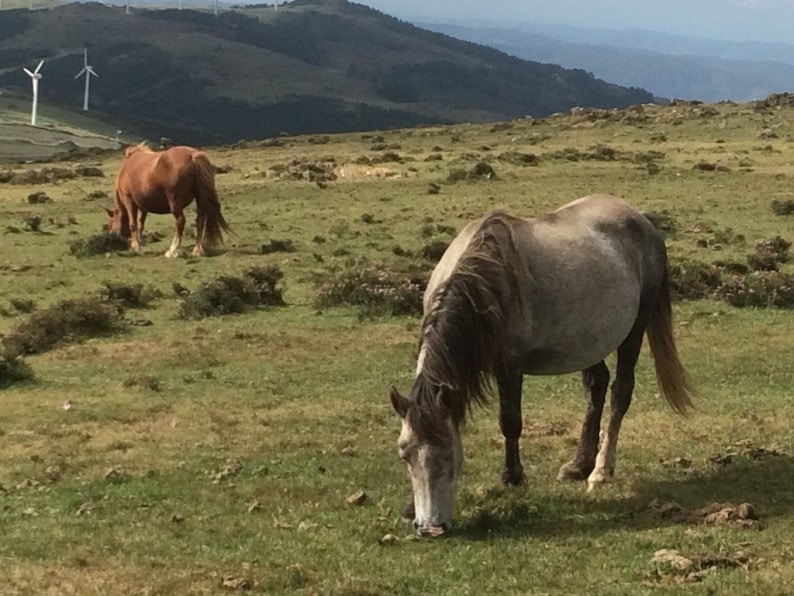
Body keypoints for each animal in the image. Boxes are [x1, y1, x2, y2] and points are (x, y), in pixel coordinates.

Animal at [390, 194, 692, 536]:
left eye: (449, 454)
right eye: (404, 452)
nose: (431, 527)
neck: (487, 284)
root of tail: (642, 221)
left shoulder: (510, 365)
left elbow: (510, 422)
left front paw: (513, 477)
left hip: (634, 331)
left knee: (620, 392)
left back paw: (600, 470)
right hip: (588, 342)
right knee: (597, 386)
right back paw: (579, 465)